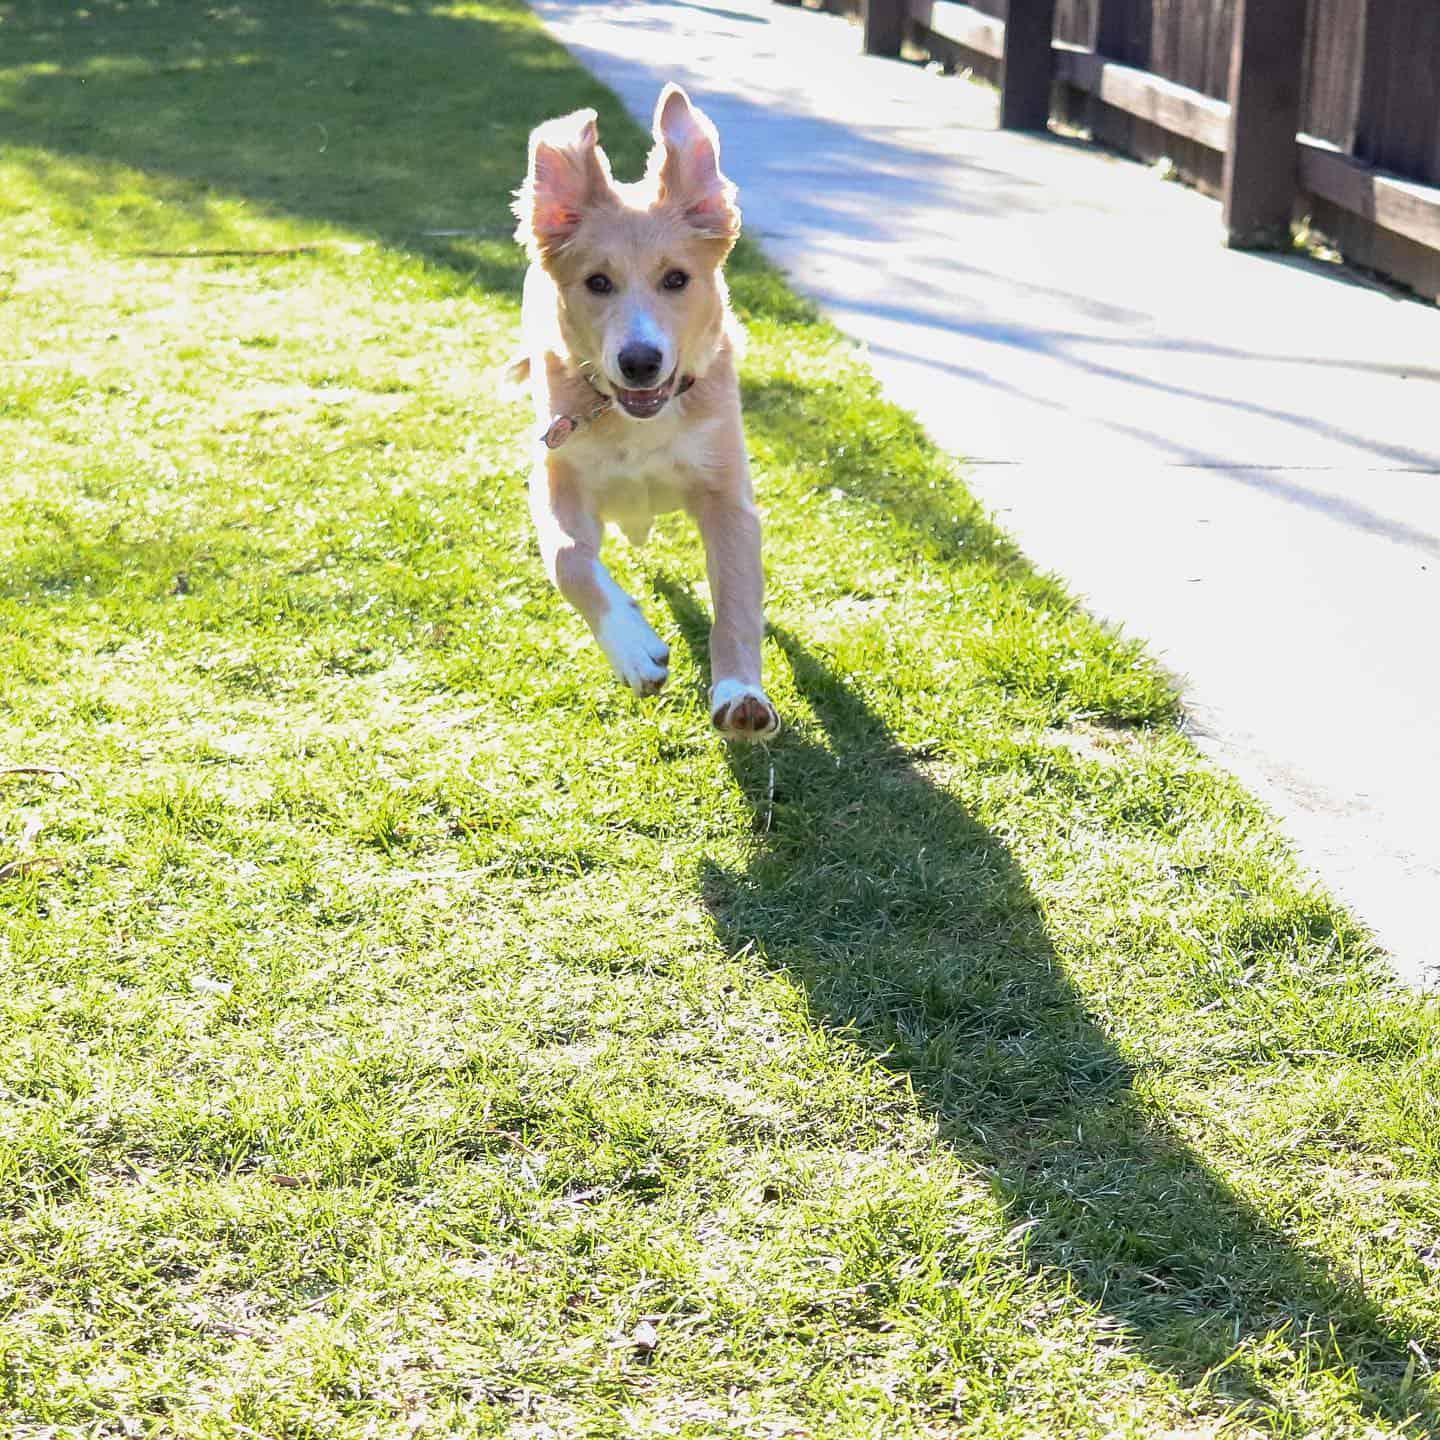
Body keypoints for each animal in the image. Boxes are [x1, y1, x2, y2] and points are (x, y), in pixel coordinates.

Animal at [506, 87, 777, 743]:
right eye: (597, 282)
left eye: (676, 279)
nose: (639, 362)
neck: (639, 424)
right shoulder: (555, 477)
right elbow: (570, 560)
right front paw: (633, 648)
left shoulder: (726, 494)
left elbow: (736, 600)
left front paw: (740, 694)